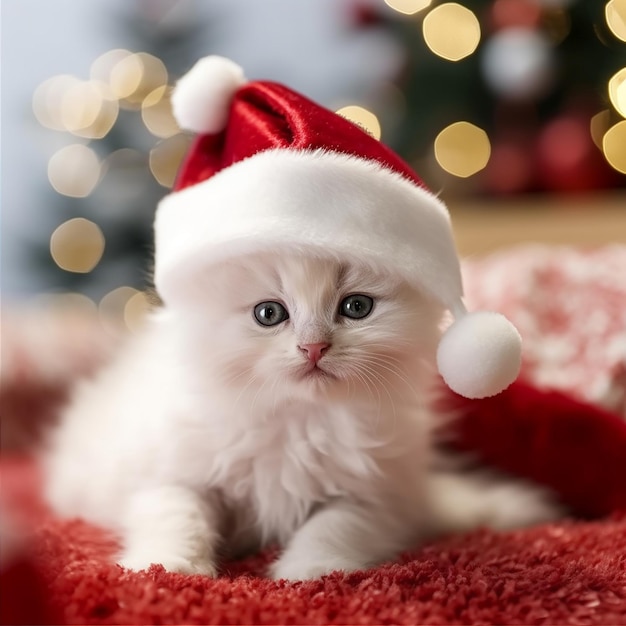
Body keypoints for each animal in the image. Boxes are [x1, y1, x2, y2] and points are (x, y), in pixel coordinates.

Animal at [45, 251, 560, 576]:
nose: (313, 347)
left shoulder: (377, 497)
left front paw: (309, 573)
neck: (301, 421)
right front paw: (168, 568)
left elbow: (331, 528)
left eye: (356, 306)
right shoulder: (169, 476)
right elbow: (179, 515)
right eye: (269, 314)